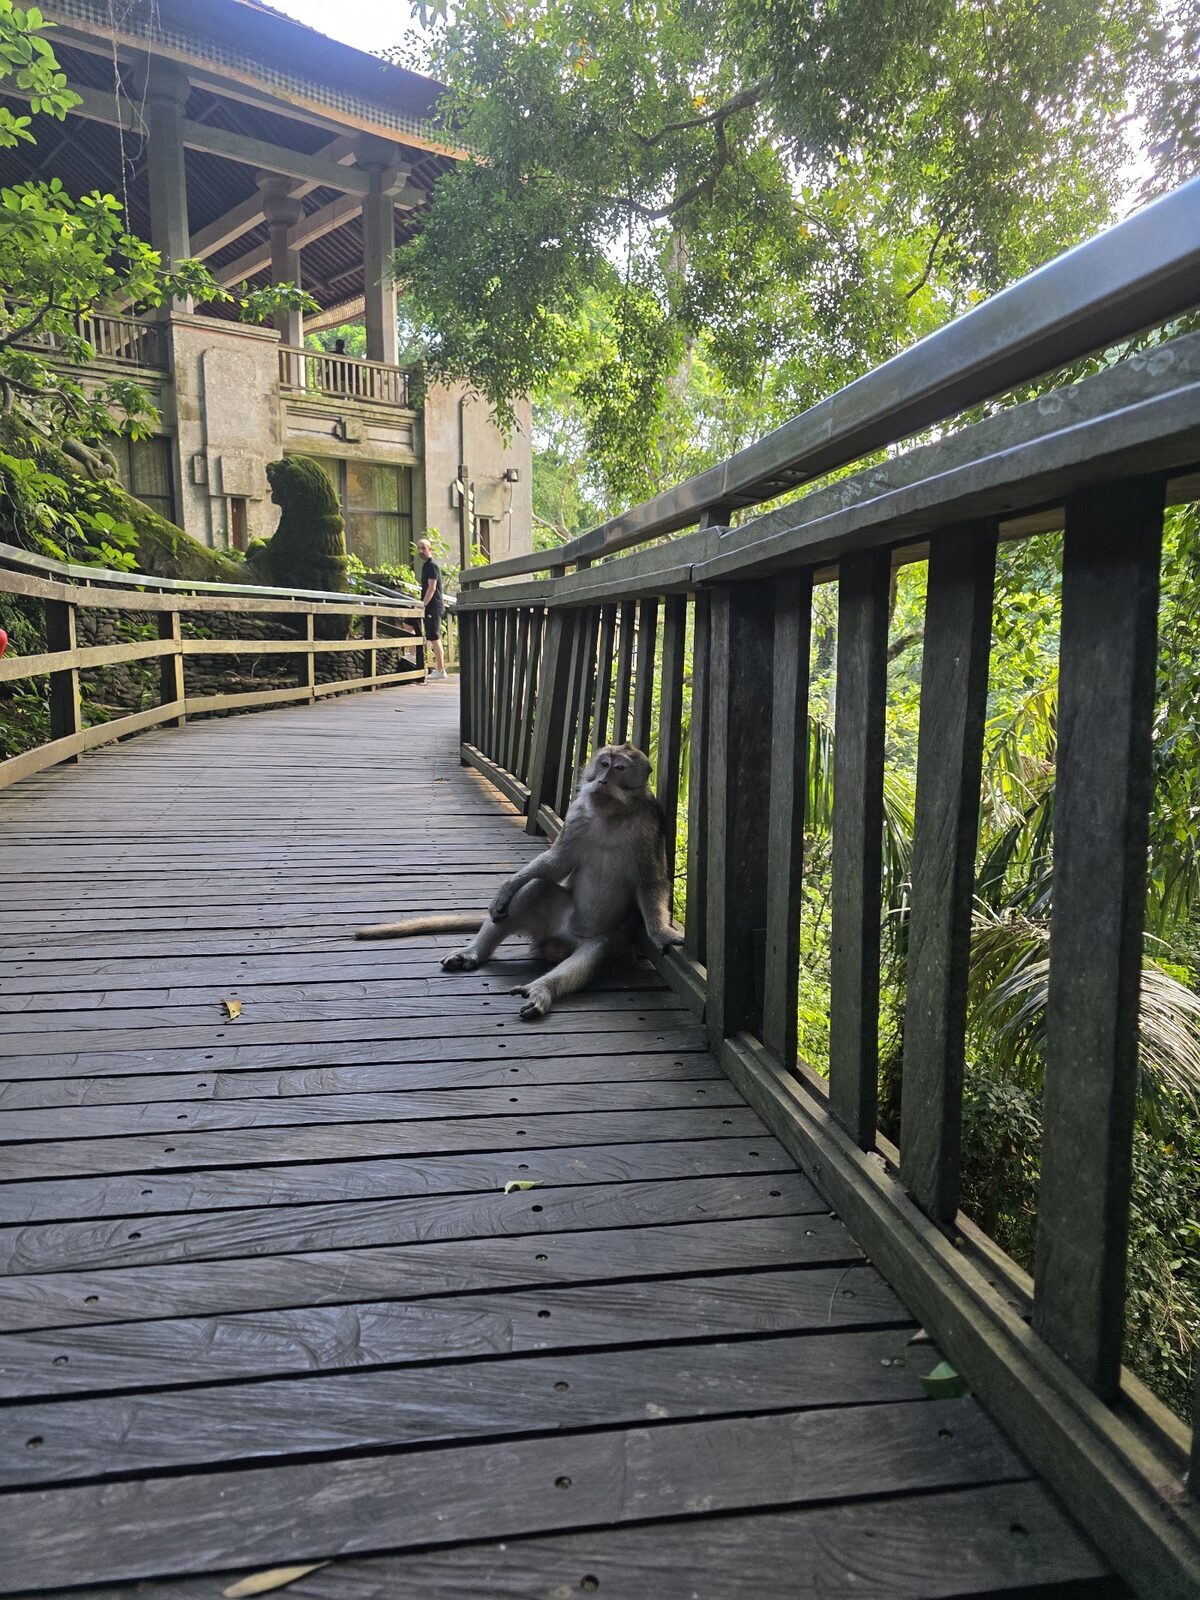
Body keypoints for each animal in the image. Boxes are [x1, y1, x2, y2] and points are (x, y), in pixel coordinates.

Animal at [356, 742, 683, 1019]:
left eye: (619, 769)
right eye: (604, 763)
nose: (602, 780)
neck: (612, 816)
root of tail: (561, 942)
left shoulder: (651, 823)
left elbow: (652, 881)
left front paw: (662, 933)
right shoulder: (578, 813)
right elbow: (554, 863)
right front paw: (507, 887)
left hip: (608, 940)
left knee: (594, 951)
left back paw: (543, 989)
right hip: (552, 920)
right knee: (534, 890)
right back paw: (475, 951)